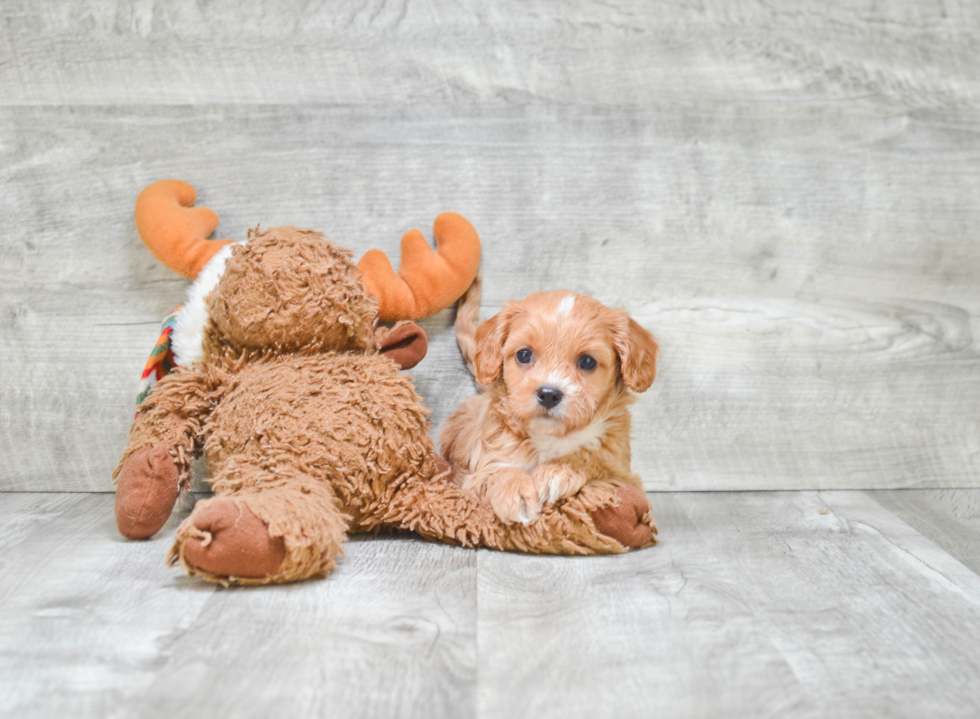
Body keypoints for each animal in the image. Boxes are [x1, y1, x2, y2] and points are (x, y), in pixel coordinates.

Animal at [442, 278, 660, 524]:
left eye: (587, 361)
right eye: (524, 355)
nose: (548, 394)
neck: (552, 437)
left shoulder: (625, 476)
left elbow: (594, 460)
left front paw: (557, 471)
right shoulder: (476, 473)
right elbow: (497, 470)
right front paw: (513, 489)